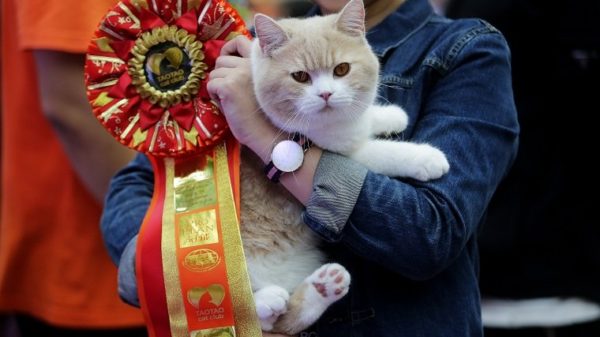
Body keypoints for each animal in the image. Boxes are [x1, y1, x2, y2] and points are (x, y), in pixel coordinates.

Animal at [241, 0, 448, 332]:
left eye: (341, 70)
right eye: (300, 77)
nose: (326, 94)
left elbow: (363, 119)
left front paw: (390, 115)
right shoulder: (341, 151)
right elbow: (384, 152)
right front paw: (426, 158)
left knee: (285, 320)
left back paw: (324, 285)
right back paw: (266, 300)